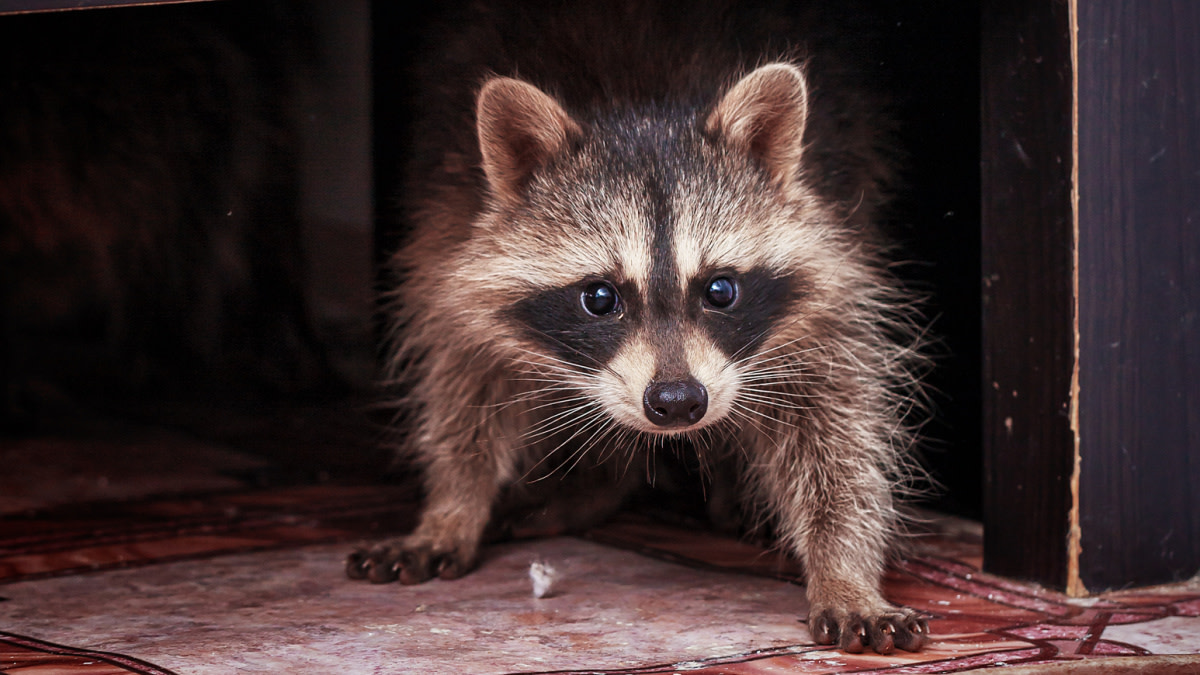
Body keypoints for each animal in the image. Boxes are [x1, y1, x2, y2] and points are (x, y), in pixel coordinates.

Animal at [350, 0, 930, 655]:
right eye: (600, 298)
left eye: (720, 290)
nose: (678, 402)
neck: (641, 104)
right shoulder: (448, 227)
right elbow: (462, 374)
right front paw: (452, 503)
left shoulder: (831, 256)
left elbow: (835, 429)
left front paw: (844, 568)